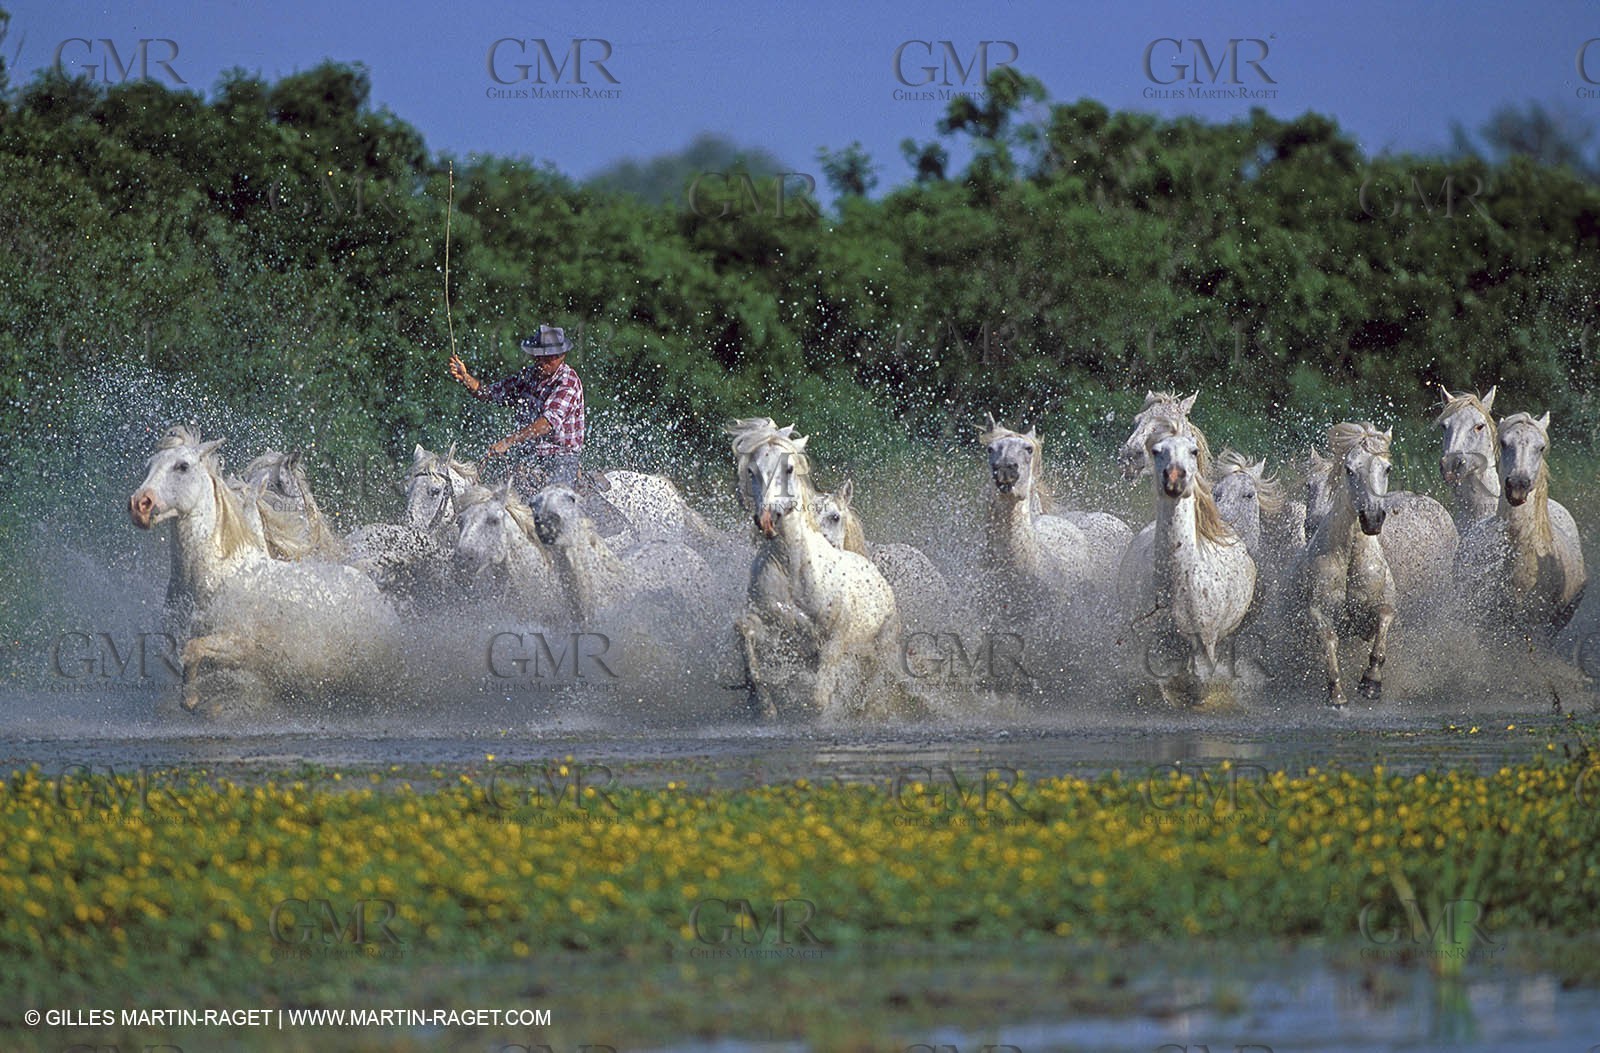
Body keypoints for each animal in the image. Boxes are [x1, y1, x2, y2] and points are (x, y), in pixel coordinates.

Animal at [128, 426, 399, 715]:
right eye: (149, 466)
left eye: (182, 466)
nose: (139, 505)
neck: (213, 575)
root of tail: (372, 589)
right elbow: (183, 655)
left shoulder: (246, 647)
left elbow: (194, 650)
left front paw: (191, 699)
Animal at [727, 419, 901, 721]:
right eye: (751, 470)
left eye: (788, 468)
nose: (767, 519)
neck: (794, 571)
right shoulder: (775, 629)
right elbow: (744, 630)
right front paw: (763, 703)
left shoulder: (833, 641)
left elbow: (819, 697)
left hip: (881, 646)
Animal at [1123, 433, 1256, 704]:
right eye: (1156, 451)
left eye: (1193, 451)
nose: (1174, 478)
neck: (1177, 581)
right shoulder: (1149, 642)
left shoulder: (1205, 643)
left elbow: (1200, 686)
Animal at [1296, 423, 1398, 708]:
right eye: (1349, 469)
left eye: (1387, 468)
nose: (1372, 519)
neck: (1350, 556)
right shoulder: (1318, 611)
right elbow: (1329, 641)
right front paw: (1337, 694)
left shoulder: (1383, 605)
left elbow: (1383, 623)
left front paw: (1371, 682)